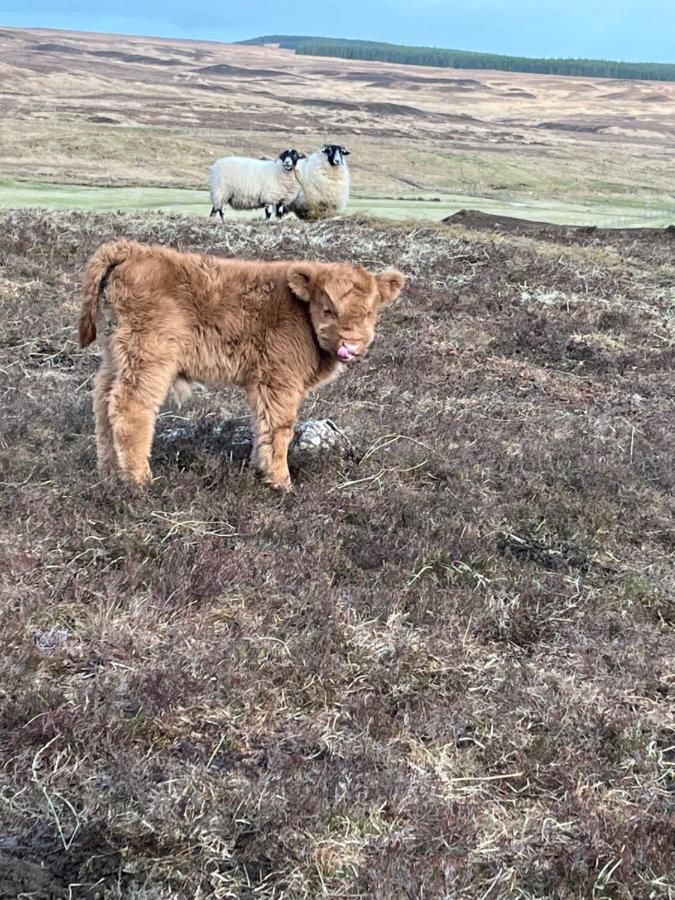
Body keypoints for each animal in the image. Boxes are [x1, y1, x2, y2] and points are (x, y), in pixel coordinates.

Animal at [80, 239, 406, 488]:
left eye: (370, 312)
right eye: (328, 309)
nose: (351, 346)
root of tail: (132, 250)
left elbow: (261, 425)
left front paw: (259, 469)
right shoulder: (279, 379)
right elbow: (279, 428)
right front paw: (281, 482)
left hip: (117, 356)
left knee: (103, 403)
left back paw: (109, 473)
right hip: (149, 356)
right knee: (129, 407)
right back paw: (139, 479)